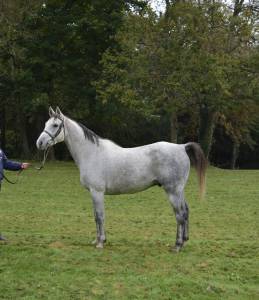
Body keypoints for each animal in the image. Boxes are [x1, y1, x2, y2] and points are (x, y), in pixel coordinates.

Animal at [36, 106, 207, 252]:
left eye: (55, 125)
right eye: (45, 124)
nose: (40, 143)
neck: (91, 153)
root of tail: (182, 147)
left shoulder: (97, 192)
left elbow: (99, 216)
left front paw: (100, 243)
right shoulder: (94, 193)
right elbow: (96, 216)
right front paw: (97, 240)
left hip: (173, 191)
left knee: (180, 215)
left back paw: (177, 246)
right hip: (179, 190)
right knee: (186, 211)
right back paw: (184, 241)